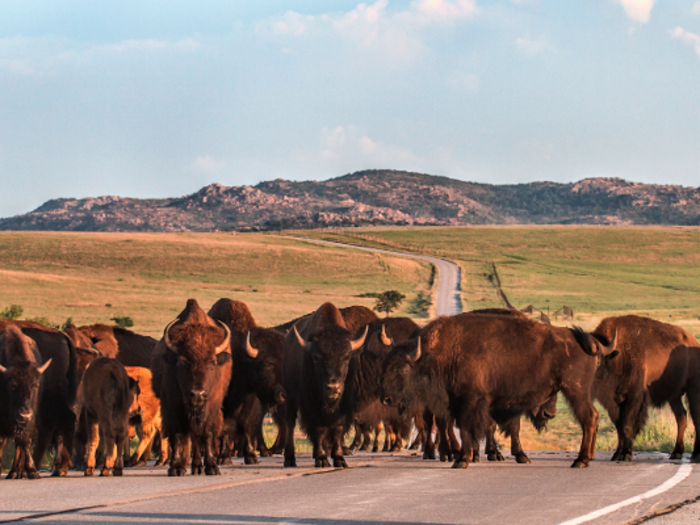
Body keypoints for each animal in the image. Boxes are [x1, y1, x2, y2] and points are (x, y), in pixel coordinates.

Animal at [0, 326, 52, 476]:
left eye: (35, 385)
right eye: (12, 386)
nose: (24, 415)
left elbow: (25, 440)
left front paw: (32, 471)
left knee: (21, 442)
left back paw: (17, 472)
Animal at [151, 298, 232, 474]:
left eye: (212, 362)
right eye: (181, 363)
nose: (197, 394)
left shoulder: (211, 406)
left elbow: (206, 433)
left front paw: (212, 467)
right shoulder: (172, 405)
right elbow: (177, 435)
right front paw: (175, 468)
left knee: (195, 437)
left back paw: (197, 467)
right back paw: (189, 466)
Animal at [284, 300, 370, 468]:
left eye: (347, 356)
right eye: (316, 357)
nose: (333, 388)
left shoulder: (343, 403)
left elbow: (337, 429)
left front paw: (339, 459)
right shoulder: (312, 405)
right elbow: (318, 429)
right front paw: (322, 459)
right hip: (290, 397)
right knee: (290, 423)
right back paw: (290, 459)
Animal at [380, 314, 616, 468]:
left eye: (402, 369)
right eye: (386, 365)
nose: (386, 399)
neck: (437, 353)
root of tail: (586, 340)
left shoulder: (470, 402)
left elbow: (468, 430)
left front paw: (463, 460)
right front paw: (466, 457)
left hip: (575, 390)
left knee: (589, 417)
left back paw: (580, 461)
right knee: (593, 417)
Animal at [592, 314, 700, 460]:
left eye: (597, 360)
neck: (616, 356)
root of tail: (694, 342)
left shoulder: (634, 398)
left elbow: (627, 424)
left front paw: (625, 454)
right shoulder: (614, 402)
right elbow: (619, 426)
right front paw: (617, 454)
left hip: (693, 389)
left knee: (696, 417)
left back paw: (696, 454)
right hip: (674, 396)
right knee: (681, 417)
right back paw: (676, 452)